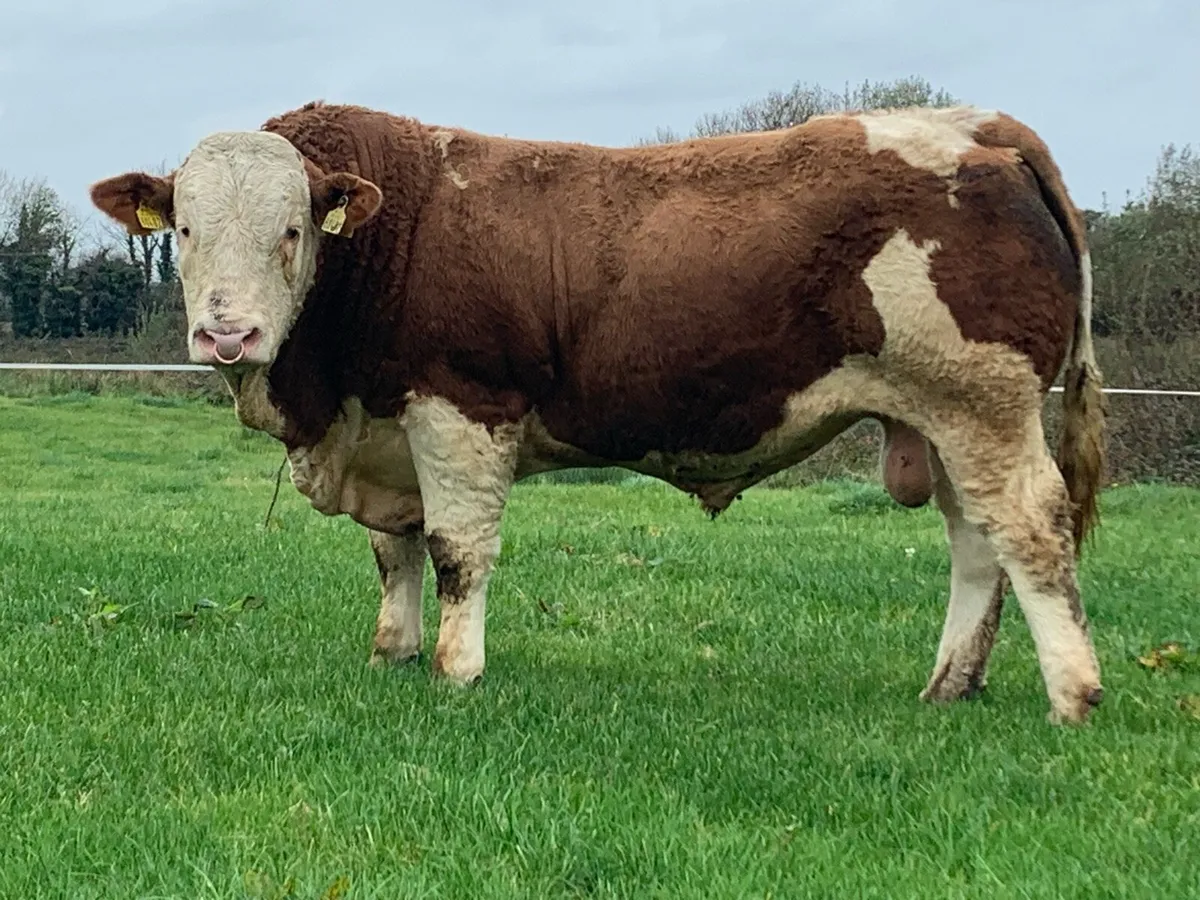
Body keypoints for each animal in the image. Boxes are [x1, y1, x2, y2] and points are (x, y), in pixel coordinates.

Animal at [89, 100, 1107, 724]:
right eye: (185, 230)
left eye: (292, 229)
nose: (229, 334)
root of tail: (972, 125)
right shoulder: (386, 430)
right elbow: (396, 553)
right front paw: (393, 653)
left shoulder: (462, 408)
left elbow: (458, 551)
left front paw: (457, 672)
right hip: (945, 419)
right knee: (979, 543)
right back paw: (951, 684)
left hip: (982, 403)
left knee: (1032, 529)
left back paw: (1074, 695)